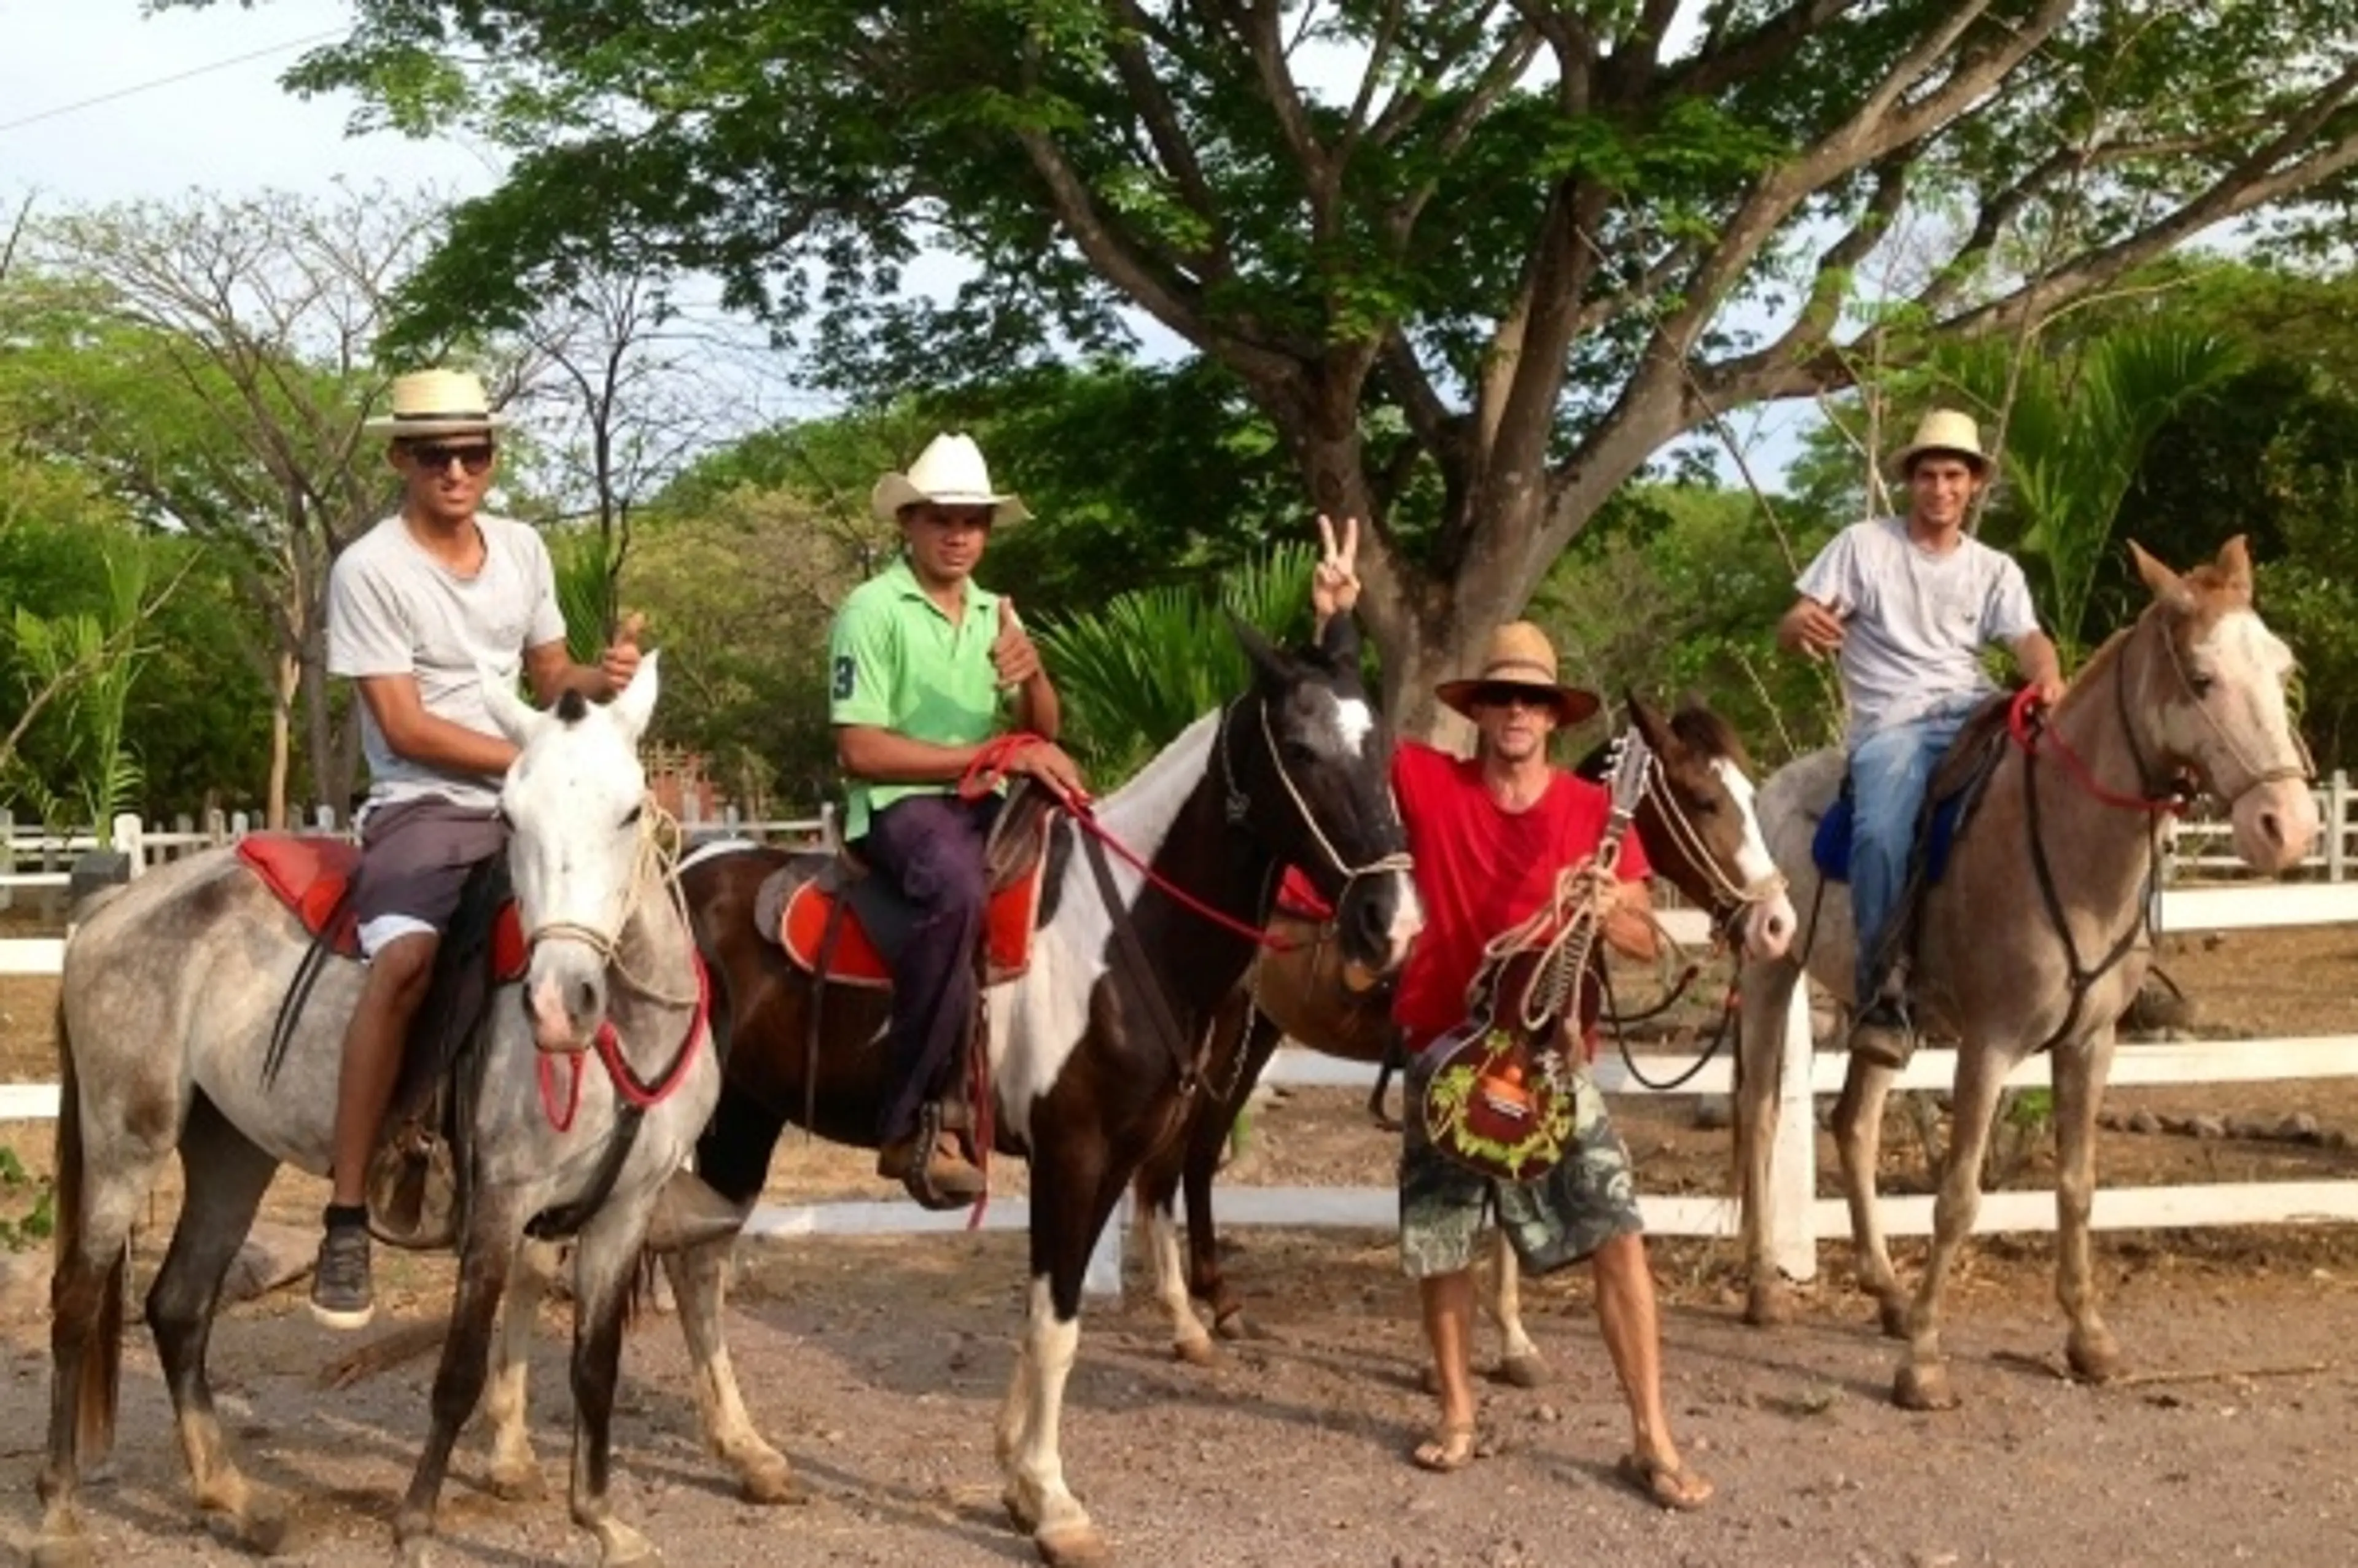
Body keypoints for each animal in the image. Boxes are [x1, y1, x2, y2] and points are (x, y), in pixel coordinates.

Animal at [1132, 697, 1792, 1367]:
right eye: (1705, 799)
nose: (1777, 923)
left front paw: (1513, 1338)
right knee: (1164, 1167)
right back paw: (1184, 1320)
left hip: (1254, 1037)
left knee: (1199, 1155)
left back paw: (1224, 1305)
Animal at [1735, 537, 2320, 1405]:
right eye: (2202, 676)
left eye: (2282, 668)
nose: (2290, 827)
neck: (2073, 848)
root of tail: (1768, 788)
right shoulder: (1991, 1044)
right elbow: (1957, 1196)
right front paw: (1925, 1361)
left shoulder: (2089, 1044)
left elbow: (2076, 1188)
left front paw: (2089, 1340)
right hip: (1770, 978)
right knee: (1762, 1114)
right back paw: (1765, 1291)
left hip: (1878, 1015)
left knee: (1855, 1124)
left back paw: (1888, 1294)